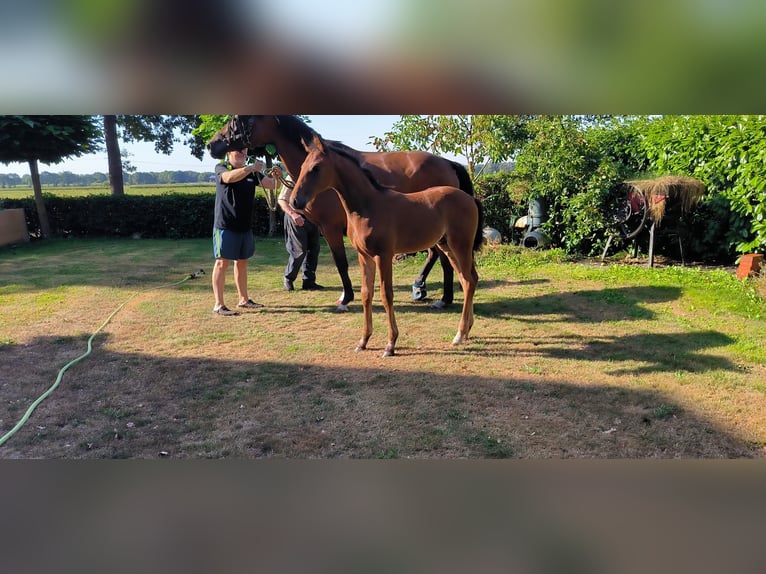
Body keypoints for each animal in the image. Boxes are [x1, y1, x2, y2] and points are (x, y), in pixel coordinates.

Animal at [207, 115, 475, 312]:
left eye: (238, 120)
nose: (212, 144)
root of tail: (447, 163)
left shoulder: (331, 228)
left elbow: (341, 262)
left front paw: (346, 298)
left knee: (442, 258)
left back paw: (437, 295)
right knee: (439, 256)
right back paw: (430, 292)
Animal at [291, 134, 483, 357]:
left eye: (316, 168)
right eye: (302, 166)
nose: (295, 202)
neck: (368, 206)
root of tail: (470, 198)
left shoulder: (383, 255)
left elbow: (386, 295)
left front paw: (390, 345)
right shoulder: (364, 256)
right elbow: (366, 294)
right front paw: (363, 341)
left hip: (460, 245)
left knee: (468, 281)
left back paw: (459, 334)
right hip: (447, 246)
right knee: (468, 279)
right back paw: (466, 331)